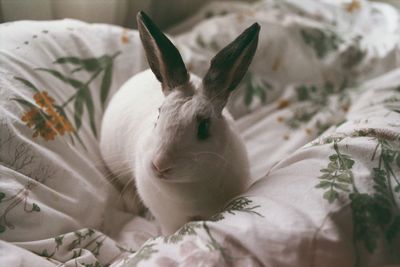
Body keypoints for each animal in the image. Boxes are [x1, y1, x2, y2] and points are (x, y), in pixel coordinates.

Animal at [101, 11, 260, 236]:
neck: (186, 187)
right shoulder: (169, 219)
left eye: (203, 128)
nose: (159, 164)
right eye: (159, 116)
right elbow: (170, 231)